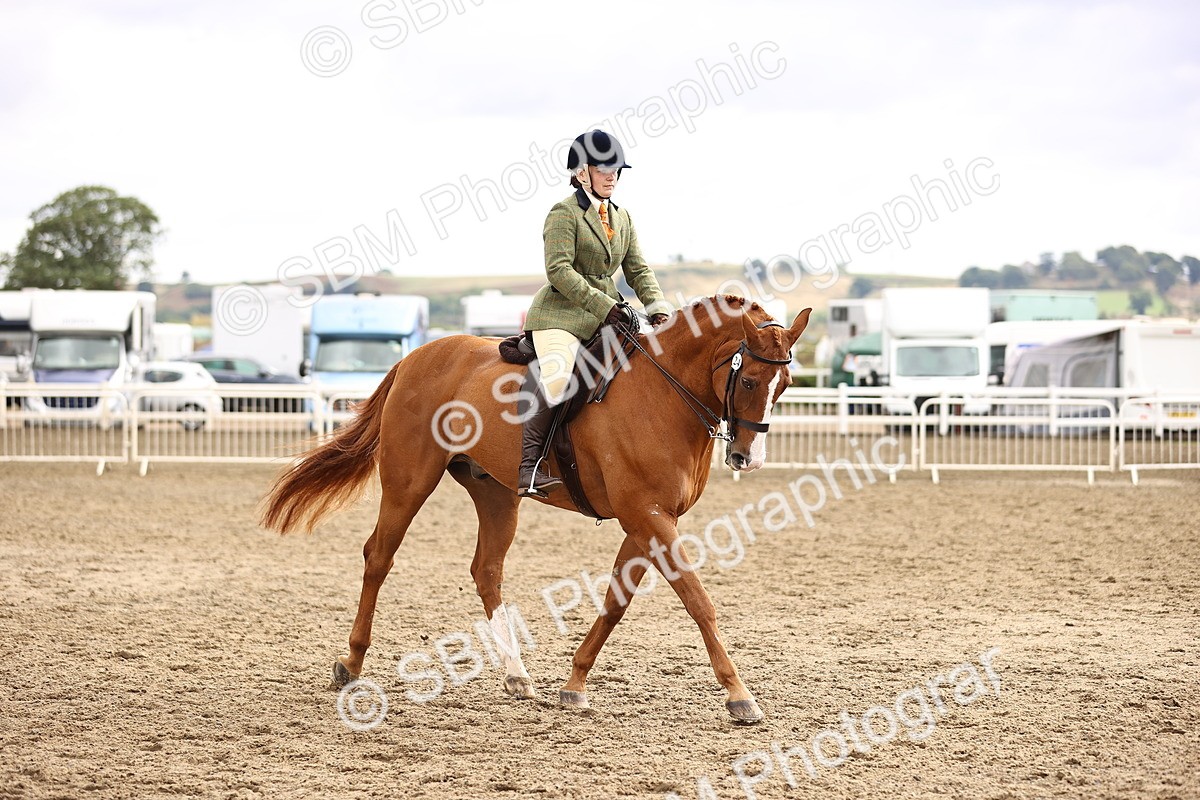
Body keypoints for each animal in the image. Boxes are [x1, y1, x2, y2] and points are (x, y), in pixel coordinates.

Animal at [260, 295, 812, 724]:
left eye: (784, 386)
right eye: (747, 382)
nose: (747, 458)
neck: (664, 394)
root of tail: (419, 356)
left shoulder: (650, 520)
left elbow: (616, 601)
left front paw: (574, 684)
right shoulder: (648, 517)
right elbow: (698, 601)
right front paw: (740, 696)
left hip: (496, 494)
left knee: (486, 571)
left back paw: (516, 676)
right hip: (409, 483)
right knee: (378, 557)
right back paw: (351, 664)